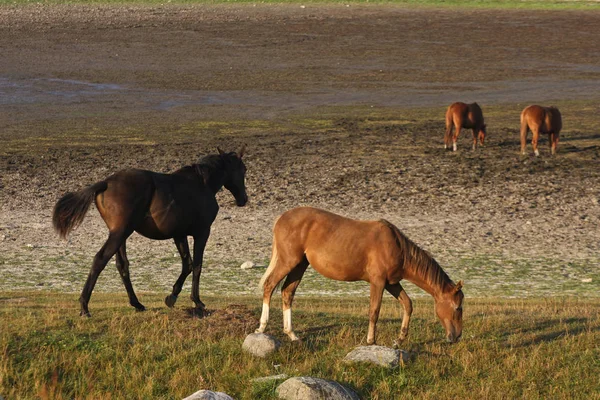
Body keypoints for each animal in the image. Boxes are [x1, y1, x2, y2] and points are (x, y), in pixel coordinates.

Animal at [52, 145, 247, 318]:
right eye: (243, 169)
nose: (243, 199)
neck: (202, 184)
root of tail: (105, 183)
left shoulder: (179, 234)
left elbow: (187, 264)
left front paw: (172, 297)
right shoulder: (202, 232)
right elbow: (197, 265)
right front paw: (197, 301)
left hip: (121, 235)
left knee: (122, 265)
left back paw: (136, 303)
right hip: (120, 233)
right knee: (100, 259)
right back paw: (84, 307)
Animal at [255, 206, 466, 344]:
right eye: (457, 308)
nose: (456, 336)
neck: (396, 246)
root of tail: (282, 217)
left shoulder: (391, 283)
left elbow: (407, 304)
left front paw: (399, 339)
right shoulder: (378, 282)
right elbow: (374, 311)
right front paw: (371, 340)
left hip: (300, 265)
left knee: (287, 292)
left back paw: (291, 334)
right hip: (288, 261)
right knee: (269, 286)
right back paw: (261, 327)